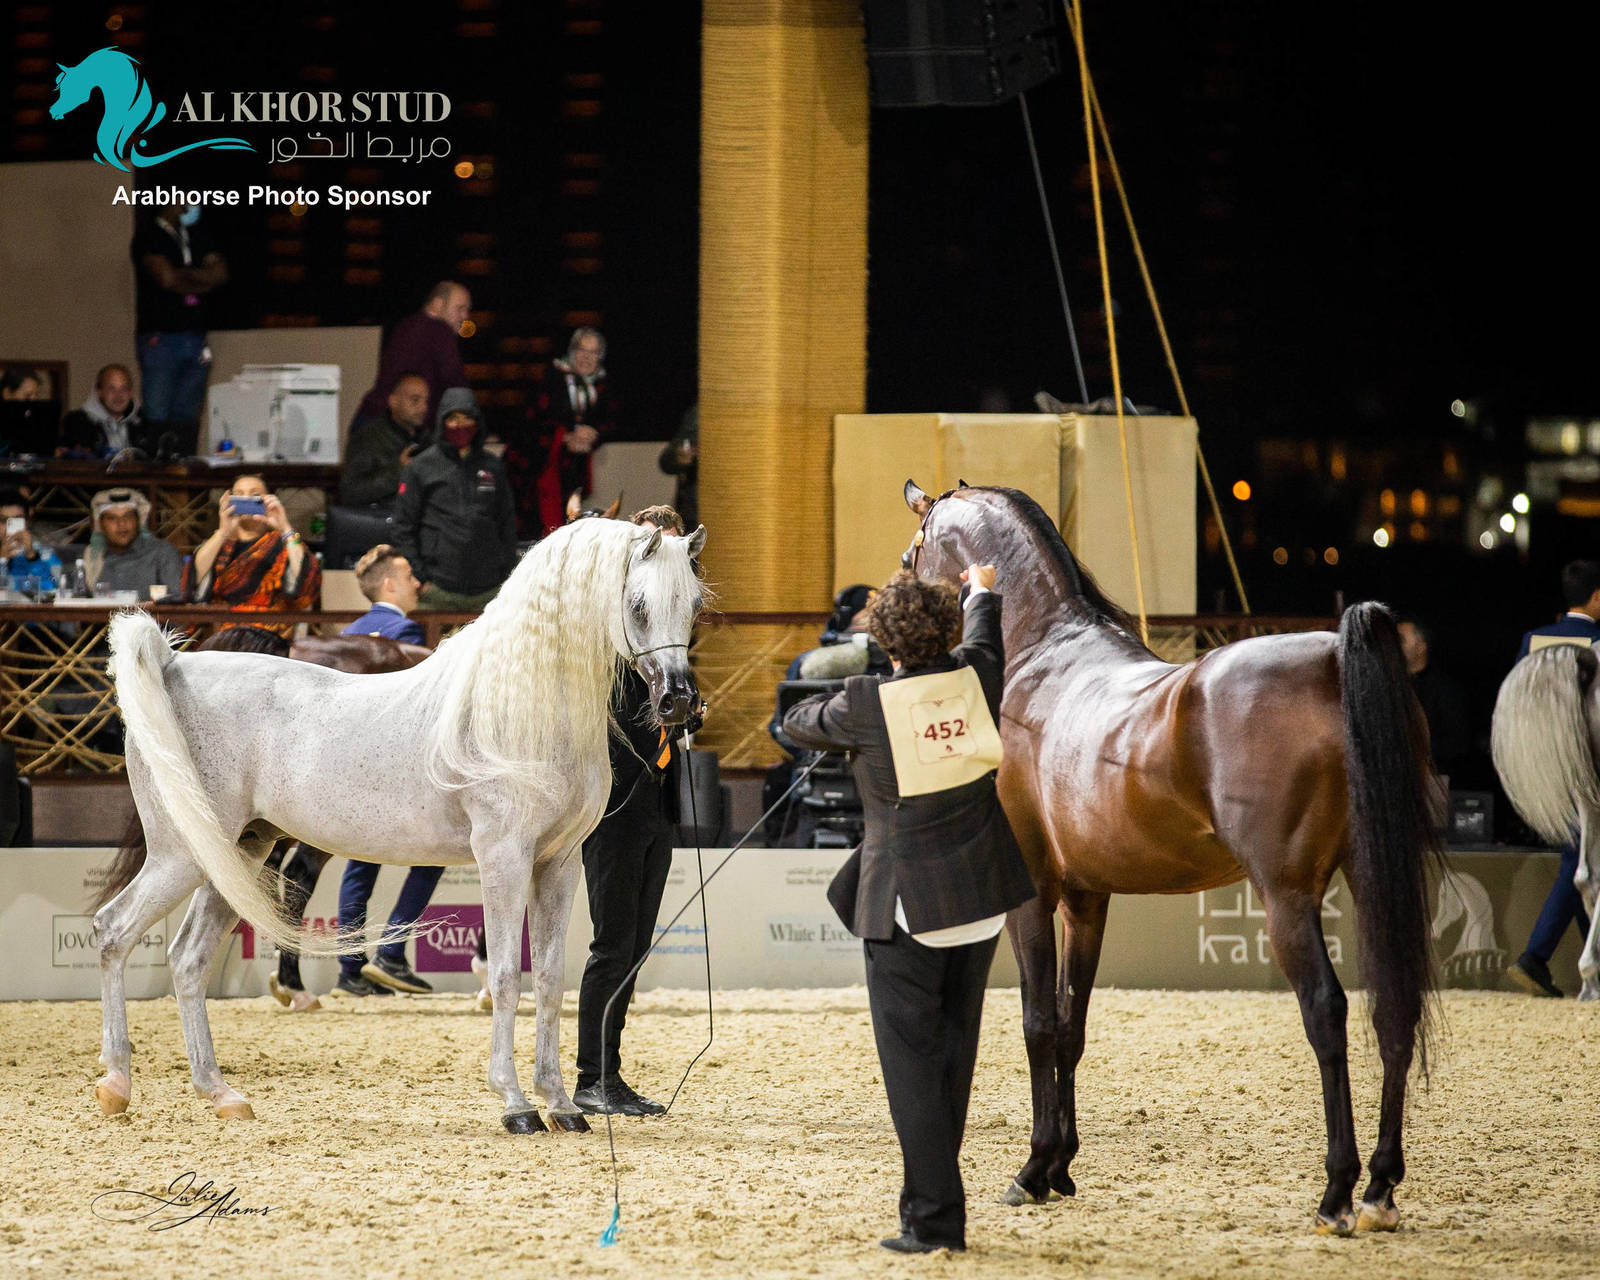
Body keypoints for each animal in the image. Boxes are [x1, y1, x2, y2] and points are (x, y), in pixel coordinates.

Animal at [901, 481, 1440, 1235]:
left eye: (910, 556)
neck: (1041, 655)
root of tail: (1333, 659)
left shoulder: (1033, 892)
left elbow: (1038, 1024)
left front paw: (1032, 1171)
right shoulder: (1086, 898)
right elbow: (1071, 1025)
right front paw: (1061, 1167)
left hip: (1287, 896)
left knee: (1326, 1014)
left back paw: (1337, 1191)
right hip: (1372, 882)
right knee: (1395, 1007)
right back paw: (1381, 1189)